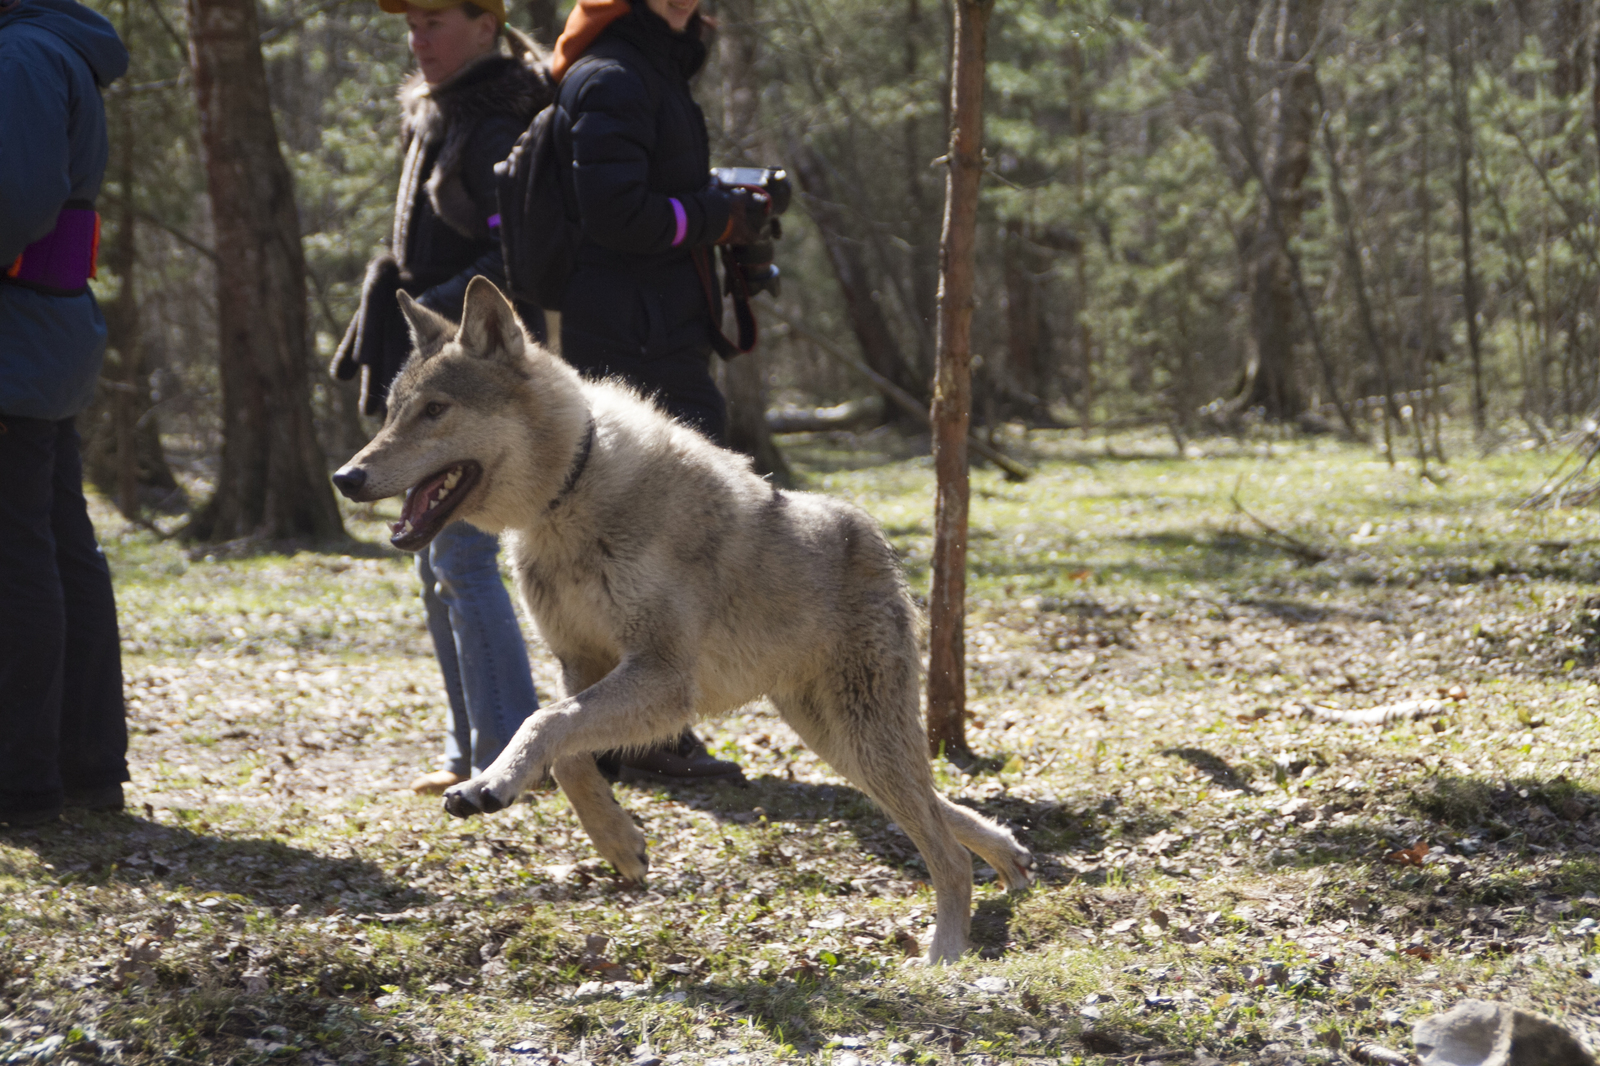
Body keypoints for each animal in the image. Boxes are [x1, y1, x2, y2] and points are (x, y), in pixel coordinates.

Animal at [337, 278, 1036, 960]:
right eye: (391, 411)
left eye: (435, 411)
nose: (346, 476)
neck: (572, 493)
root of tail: (874, 540)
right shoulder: (580, 664)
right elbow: (566, 757)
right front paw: (616, 842)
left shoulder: (663, 679)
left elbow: (543, 722)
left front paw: (499, 783)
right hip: (837, 744)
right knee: (937, 802)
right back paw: (1010, 856)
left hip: (859, 737)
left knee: (942, 848)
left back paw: (945, 956)